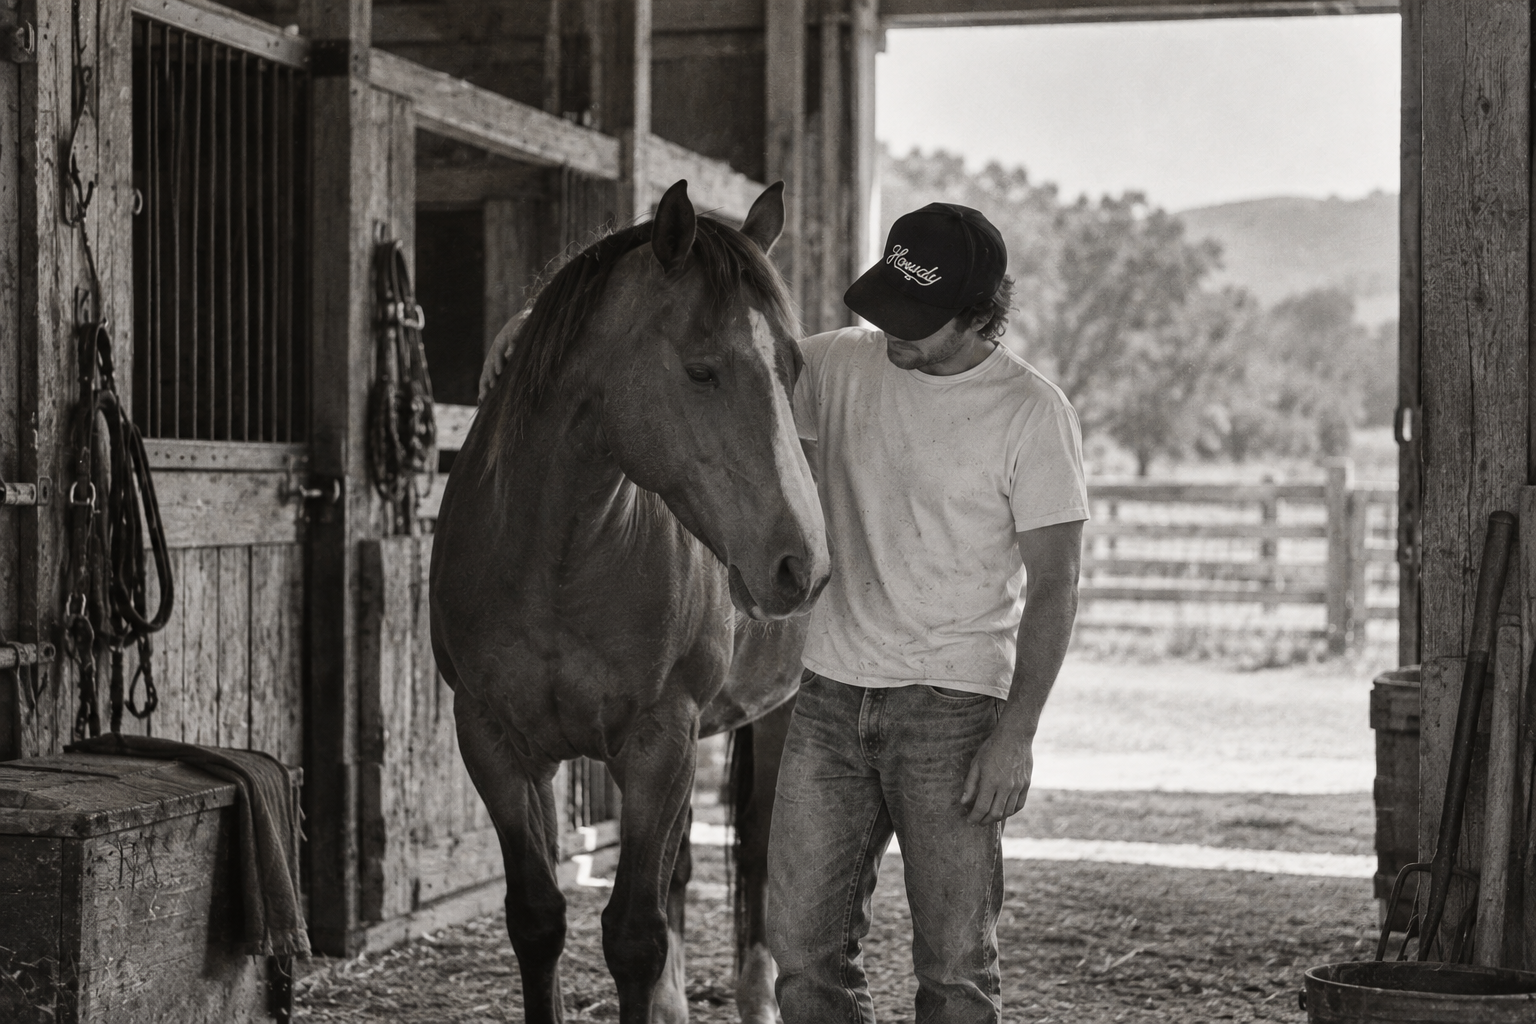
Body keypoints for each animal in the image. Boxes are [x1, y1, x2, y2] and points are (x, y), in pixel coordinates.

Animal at [429, 178, 828, 1024]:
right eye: (701, 371)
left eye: (793, 366)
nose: (801, 564)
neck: (557, 558)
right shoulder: (494, 740)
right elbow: (538, 917)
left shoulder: (659, 741)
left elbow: (634, 936)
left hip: (776, 715)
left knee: (758, 851)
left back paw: (757, 996)